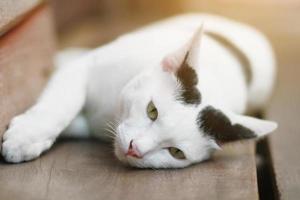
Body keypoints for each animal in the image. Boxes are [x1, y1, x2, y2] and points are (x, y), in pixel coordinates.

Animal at [2, 13, 278, 168]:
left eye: (176, 152)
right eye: (152, 110)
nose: (135, 149)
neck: (109, 111)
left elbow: (73, 122)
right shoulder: (85, 66)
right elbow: (62, 103)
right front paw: (26, 136)